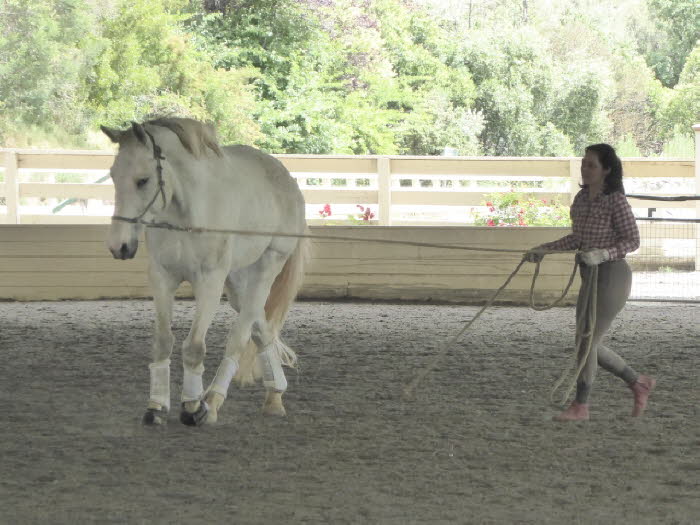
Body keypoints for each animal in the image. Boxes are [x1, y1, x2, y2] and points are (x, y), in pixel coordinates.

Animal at [101, 117, 308, 426]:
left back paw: (212, 402)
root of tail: (286, 178)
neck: (187, 214)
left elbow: (194, 347)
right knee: (262, 329)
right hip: (237, 282)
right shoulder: (162, 278)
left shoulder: (209, 282)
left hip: (267, 265)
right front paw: (156, 406)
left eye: (143, 180)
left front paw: (191, 406)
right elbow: (163, 342)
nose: (119, 246)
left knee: (241, 335)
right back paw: (274, 397)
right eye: (113, 176)